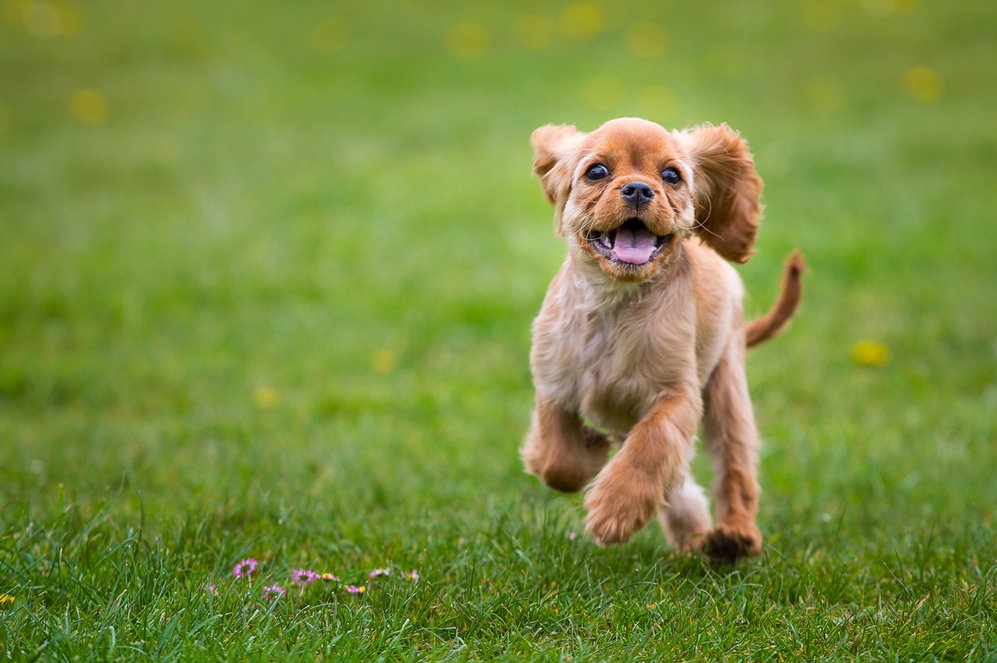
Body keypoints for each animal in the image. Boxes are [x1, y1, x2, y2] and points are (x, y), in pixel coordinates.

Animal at [520, 118, 800, 560]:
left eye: (671, 176)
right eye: (596, 171)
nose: (638, 188)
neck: (616, 301)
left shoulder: (677, 395)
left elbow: (652, 445)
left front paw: (614, 510)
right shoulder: (554, 380)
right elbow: (556, 459)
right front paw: (589, 451)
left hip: (727, 386)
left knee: (733, 468)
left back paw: (733, 537)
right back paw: (694, 536)